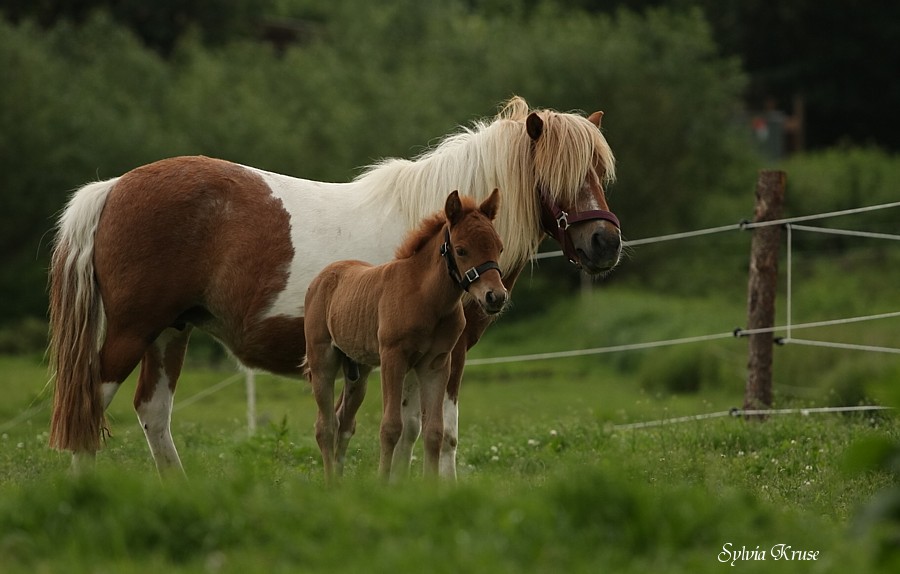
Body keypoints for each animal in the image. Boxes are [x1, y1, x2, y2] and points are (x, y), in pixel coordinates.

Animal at [47, 98, 620, 476]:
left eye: (599, 170)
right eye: (560, 174)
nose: (604, 242)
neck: (437, 243)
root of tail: (114, 187)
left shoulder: (416, 357)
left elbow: (414, 428)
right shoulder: (443, 355)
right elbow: (440, 432)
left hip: (170, 332)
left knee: (153, 413)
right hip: (132, 331)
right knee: (91, 405)